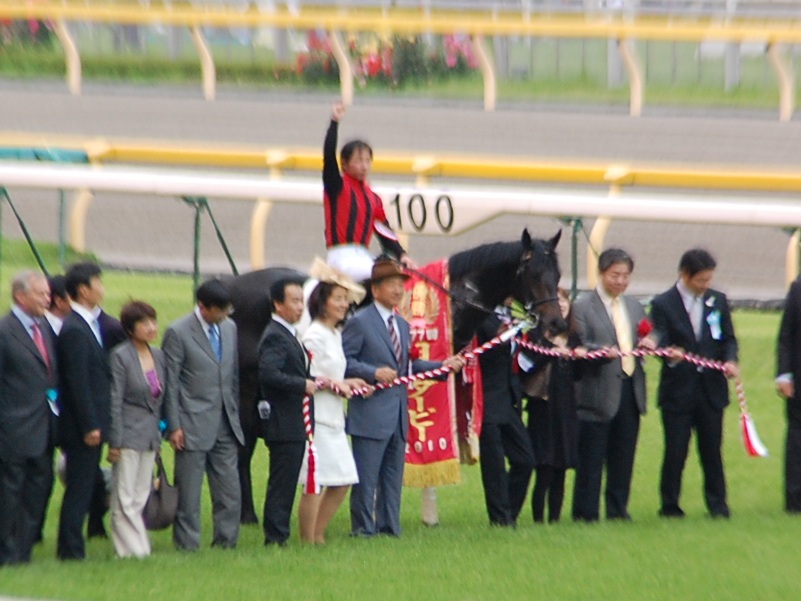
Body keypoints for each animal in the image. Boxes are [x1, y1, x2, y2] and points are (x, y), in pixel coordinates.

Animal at [227, 229, 564, 524]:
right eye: (533, 273)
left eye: (558, 275)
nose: (556, 325)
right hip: (246, 388)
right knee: (242, 448)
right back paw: (247, 516)